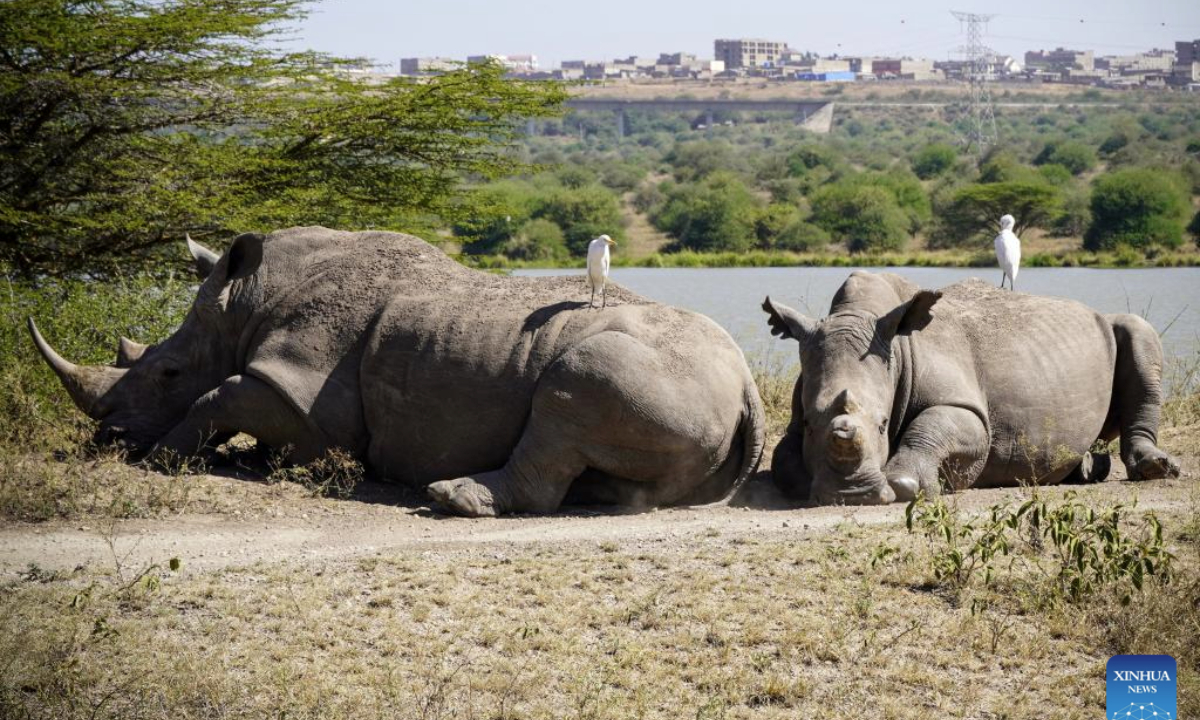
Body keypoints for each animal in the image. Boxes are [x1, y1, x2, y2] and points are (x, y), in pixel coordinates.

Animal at [30, 228, 768, 513]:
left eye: (167, 373)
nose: (106, 438)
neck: (244, 306)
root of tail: (745, 383)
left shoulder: (298, 391)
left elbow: (219, 395)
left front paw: (161, 456)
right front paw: (239, 460)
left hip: (648, 369)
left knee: (571, 388)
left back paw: (449, 497)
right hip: (687, 381)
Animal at [763, 271, 1176, 506]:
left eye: (883, 425)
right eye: (811, 426)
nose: (850, 496)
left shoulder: (968, 409)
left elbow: (934, 427)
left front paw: (905, 485)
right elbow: (782, 459)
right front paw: (806, 482)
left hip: (1112, 326)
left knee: (1137, 331)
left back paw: (1156, 469)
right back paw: (1088, 469)